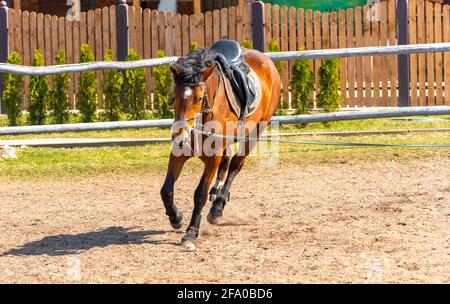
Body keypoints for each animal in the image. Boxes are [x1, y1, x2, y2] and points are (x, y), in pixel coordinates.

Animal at [161, 44, 282, 249]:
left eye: (199, 98)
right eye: (174, 96)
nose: (181, 136)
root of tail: (266, 60)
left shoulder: (213, 159)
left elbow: (200, 194)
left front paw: (190, 233)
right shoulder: (179, 153)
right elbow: (166, 190)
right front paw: (175, 217)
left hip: (255, 132)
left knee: (234, 165)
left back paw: (218, 207)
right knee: (226, 164)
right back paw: (215, 195)